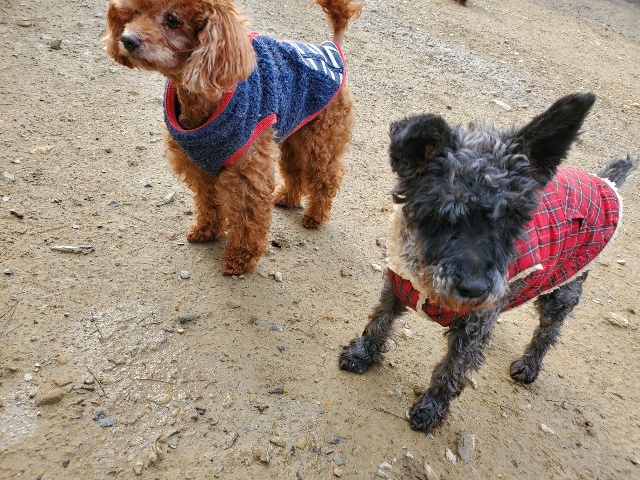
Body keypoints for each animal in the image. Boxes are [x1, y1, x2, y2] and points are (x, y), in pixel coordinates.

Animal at [103, 0, 363, 274]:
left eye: (173, 20)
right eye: (135, 12)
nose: (127, 40)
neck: (206, 97)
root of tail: (331, 47)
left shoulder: (247, 170)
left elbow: (247, 216)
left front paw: (240, 258)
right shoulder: (200, 165)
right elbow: (208, 202)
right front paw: (206, 231)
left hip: (322, 138)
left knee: (326, 176)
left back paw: (315, 216)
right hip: (292, 131)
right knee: (295, 170)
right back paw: (286, 198)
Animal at [339, 92, 637, 432]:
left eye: (513, 217)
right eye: (441, 213)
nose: (475, 288)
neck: (425, 278)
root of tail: (604, 181)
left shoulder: (473, 326)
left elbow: (451, 370)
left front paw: (431, 409)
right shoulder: (396, 286)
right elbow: (379, 321)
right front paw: (362, 354)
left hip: (562, 288)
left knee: (548, 332)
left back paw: (529, 365)